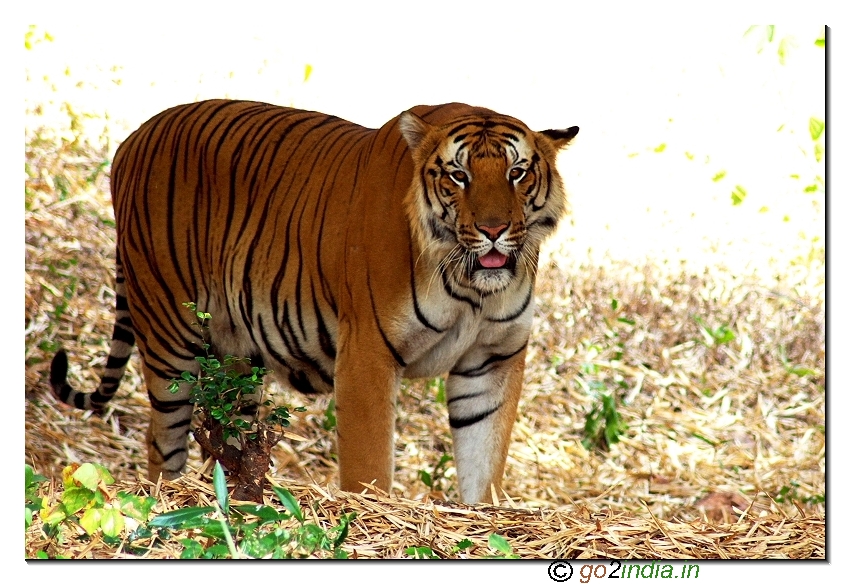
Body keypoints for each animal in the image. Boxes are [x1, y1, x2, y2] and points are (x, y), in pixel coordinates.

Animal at [49, 99, 578, 504]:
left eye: (517, 173)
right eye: (458, 175)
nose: (493, 230)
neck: (471, 289)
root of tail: (131, 138)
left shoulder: (492, 359)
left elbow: (483, 461)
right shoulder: (367, 355)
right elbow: (369, 466)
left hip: (236, 361)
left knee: (225, 439)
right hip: (168, 333)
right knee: (163, 440)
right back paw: (171, 497)